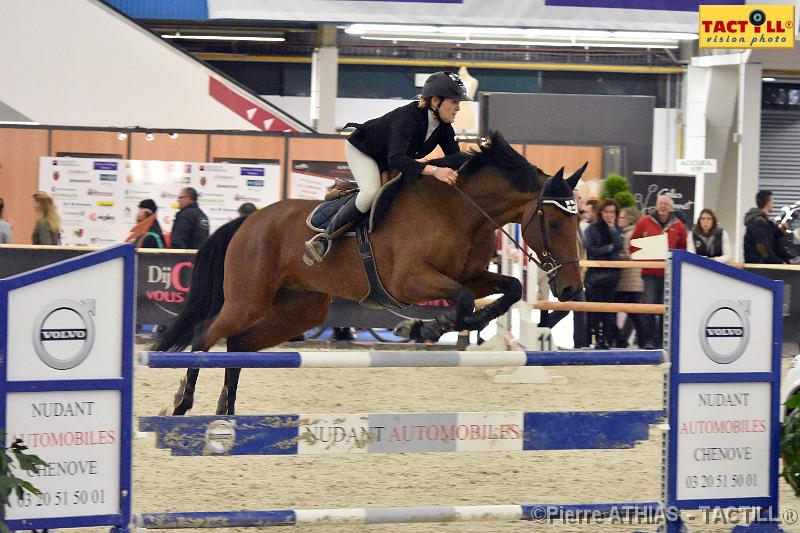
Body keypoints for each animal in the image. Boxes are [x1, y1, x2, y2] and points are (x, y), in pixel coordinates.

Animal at [155, 131, 580, 414]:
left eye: (577, 222)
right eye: (555, 222)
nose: (572, 289)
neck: (460, 211)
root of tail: (249, 220)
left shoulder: (472, 275)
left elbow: (510, 289)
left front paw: (435, 326)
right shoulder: (410, 281)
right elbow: (460, 301)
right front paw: (422, 328)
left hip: (299, 309)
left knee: (238, 343)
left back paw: (225, 412)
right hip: (248, 299)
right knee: (204, 334)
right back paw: (181, 402)